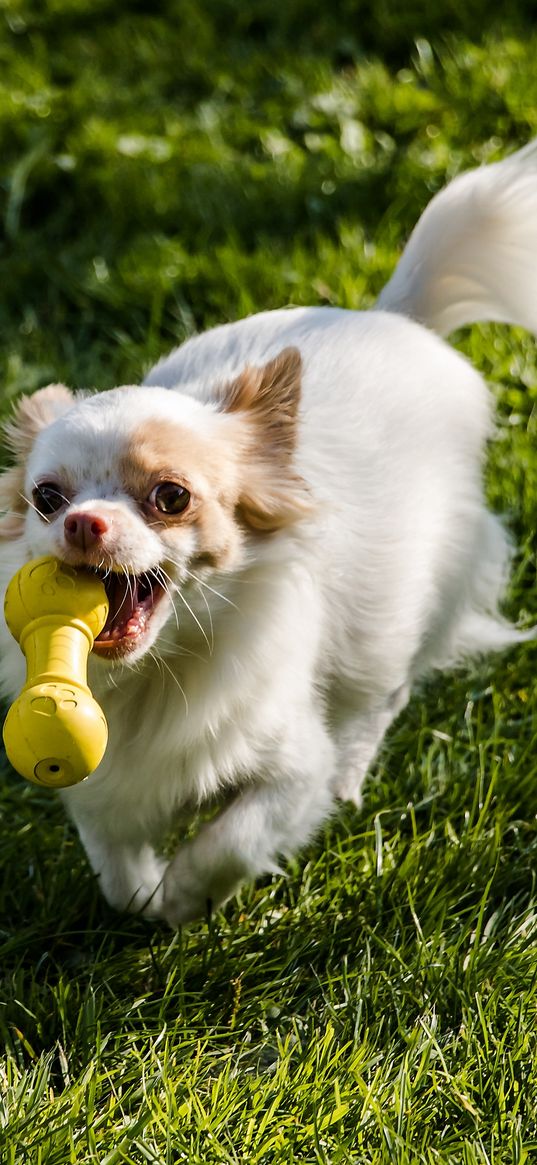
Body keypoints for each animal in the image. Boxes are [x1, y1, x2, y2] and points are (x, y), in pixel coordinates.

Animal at [1, 140, 535, 922]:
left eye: (171, 496)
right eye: (46, 498)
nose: (83, 521)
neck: (159, 672)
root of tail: (392, 316)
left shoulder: (289, 768)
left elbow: (233, 838)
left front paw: (186, 900)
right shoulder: (102, 783)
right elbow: (117, 868)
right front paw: (147, 897)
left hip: (397, 617)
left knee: (379, 699)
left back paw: (349, 781)